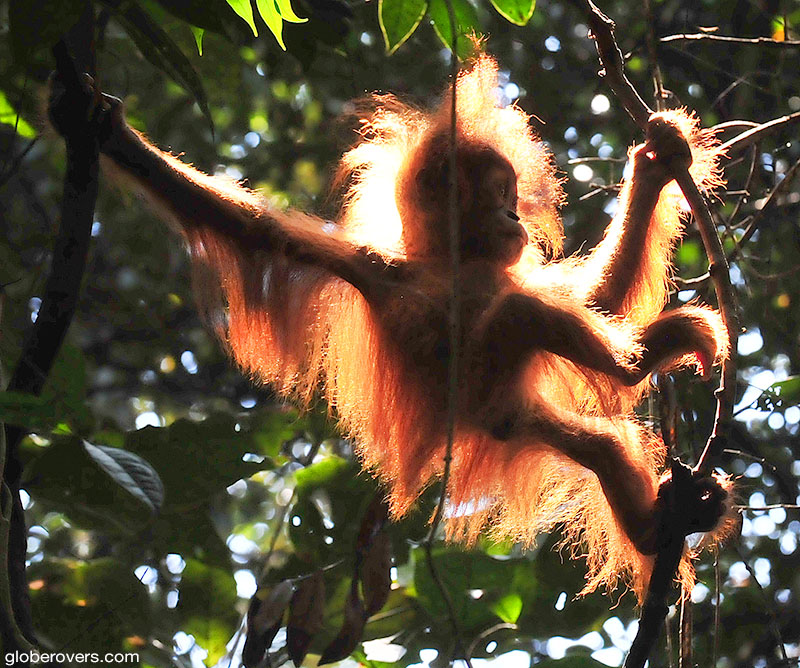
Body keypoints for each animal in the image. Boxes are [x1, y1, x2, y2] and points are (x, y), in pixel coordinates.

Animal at [49, 55, 731, 599]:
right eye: (500, 194)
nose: (514, 215)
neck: (451, 265)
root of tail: (481, 420)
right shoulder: (372, 269)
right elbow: (251, 229)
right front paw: (104, 131)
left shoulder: (500, 271)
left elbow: (599, 298)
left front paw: (656, 166)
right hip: (499, 404)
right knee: (539, 340)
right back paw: (639, 377)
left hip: (509, 407)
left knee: (591, 425)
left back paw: (656, 493)